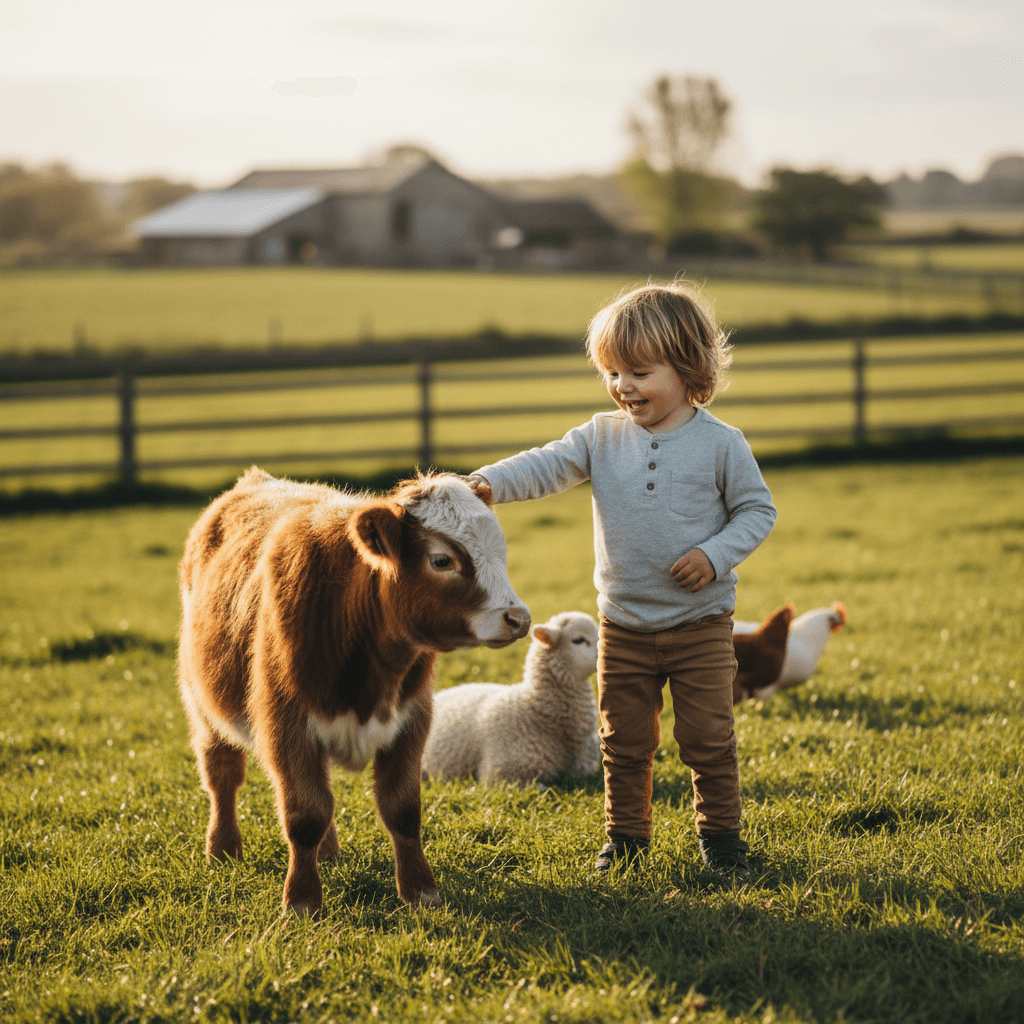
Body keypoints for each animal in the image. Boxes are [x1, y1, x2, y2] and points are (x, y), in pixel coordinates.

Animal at [176, 467, 530, 914]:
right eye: (441, 560)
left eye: (500, 549)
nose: (518, 618)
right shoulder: (286, 726)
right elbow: (304, 814)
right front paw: (302, 901)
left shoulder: (412, 719)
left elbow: (402, 809)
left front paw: (420, 890)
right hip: (203, 708)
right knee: (222, 774)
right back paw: (222, 850)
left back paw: (327, 851)